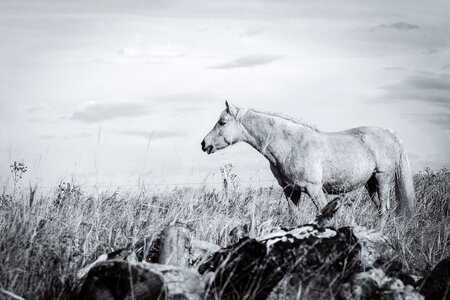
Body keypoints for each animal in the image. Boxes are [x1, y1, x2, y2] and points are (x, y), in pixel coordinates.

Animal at [202, 102, 416, 224]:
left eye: (222, 122)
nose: (205, 144)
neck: (290, 144)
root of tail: (390, 133)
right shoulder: (291, 191)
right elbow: (293, 218)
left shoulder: (314, 189)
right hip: (370, 184)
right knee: (381, 209)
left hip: (382, 179)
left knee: (384, 210)